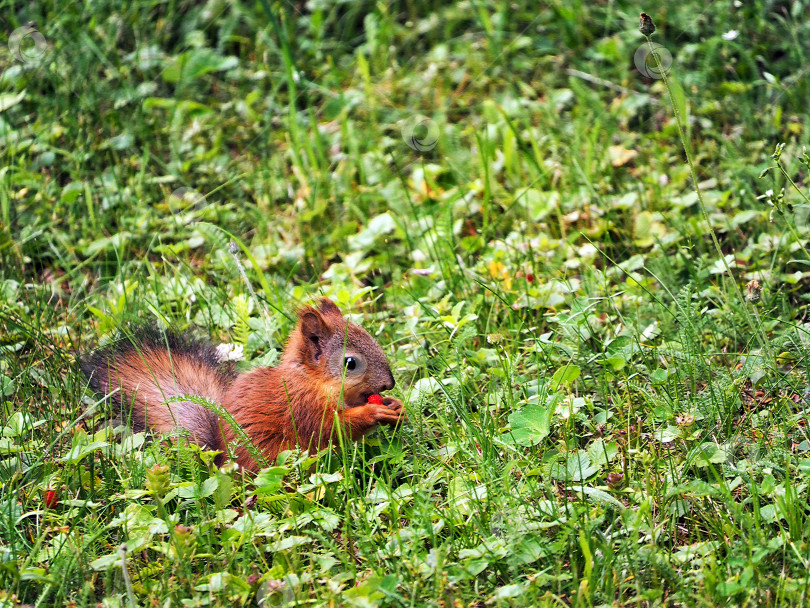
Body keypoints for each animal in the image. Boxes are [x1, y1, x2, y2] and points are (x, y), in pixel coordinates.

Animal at [82, 300, 404, 470]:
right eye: (351, 363)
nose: (389, 384)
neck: (313, 380)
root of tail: (222, 460)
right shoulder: (301, 406)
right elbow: (330, 427)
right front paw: (374, 413)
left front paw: (395, 407)